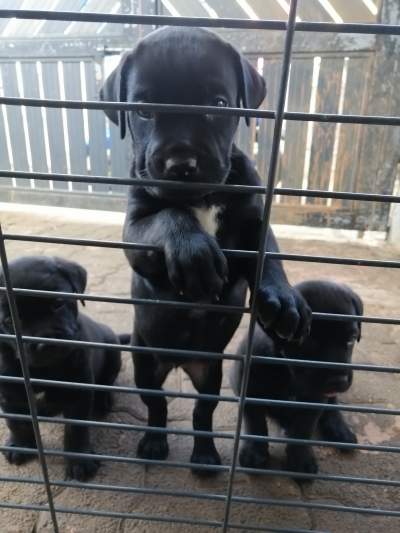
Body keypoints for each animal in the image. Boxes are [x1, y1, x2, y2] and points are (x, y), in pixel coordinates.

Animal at [0, 256, 122, 480]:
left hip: (112, 349)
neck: (44, 371)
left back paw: (102, 401)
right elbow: (17, 422)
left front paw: (80, 461)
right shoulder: (9, 394)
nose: (44, 343)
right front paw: (21, 445)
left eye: (57, 304)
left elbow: (76, 429)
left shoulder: (78, 393)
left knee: (107, 381)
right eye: (8, 320)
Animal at [231, 280, 362, 480]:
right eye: (308, 343)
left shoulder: (314, 399)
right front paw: (254, 453)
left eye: (352, 339)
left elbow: (302, 430)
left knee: (332, 406)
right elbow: (255, 424)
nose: (339, 381)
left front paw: (301, 460)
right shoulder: (249, 388)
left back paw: (341, 430)